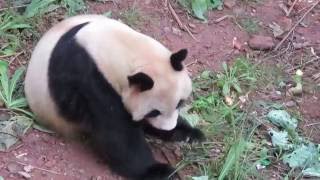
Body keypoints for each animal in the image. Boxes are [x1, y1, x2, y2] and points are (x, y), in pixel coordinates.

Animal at [25, 14, 205, 180]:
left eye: (179, 103)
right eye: (154, 112)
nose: (167, 128)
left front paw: (186, 132)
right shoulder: (89, 77)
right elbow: (117, 132)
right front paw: (158, 171)